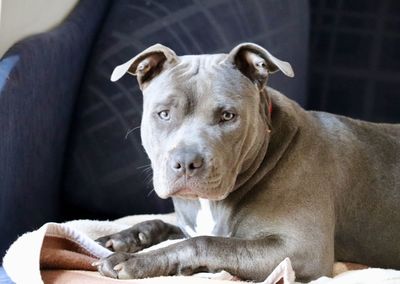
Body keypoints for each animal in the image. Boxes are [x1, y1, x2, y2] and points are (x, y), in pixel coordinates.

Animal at [94, 43, 400, 280]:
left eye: (228, 116)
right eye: (164, 114)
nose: (186, 162)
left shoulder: (299, 249)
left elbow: (206, 243)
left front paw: (136, 261)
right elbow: (167, 226)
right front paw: (122, 239)